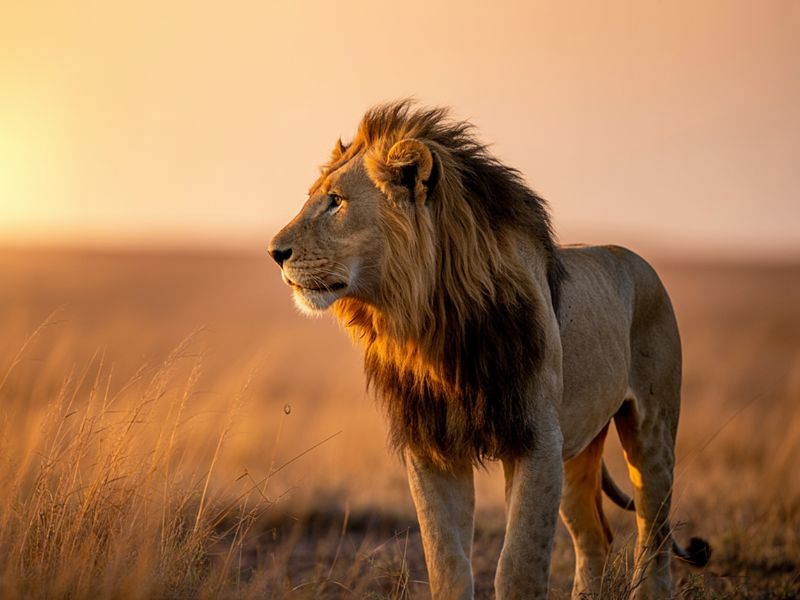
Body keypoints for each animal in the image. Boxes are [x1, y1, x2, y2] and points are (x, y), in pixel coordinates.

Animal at [268, 101, 709, 599]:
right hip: (577, 450)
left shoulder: (536, 440)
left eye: (336, 201)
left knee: (654, 537)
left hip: (651, 431)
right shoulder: (432, 447)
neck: (433, 323)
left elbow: (518, 566)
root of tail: (639, 260)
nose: (274, 252)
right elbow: (447, 562)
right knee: (596, 537)